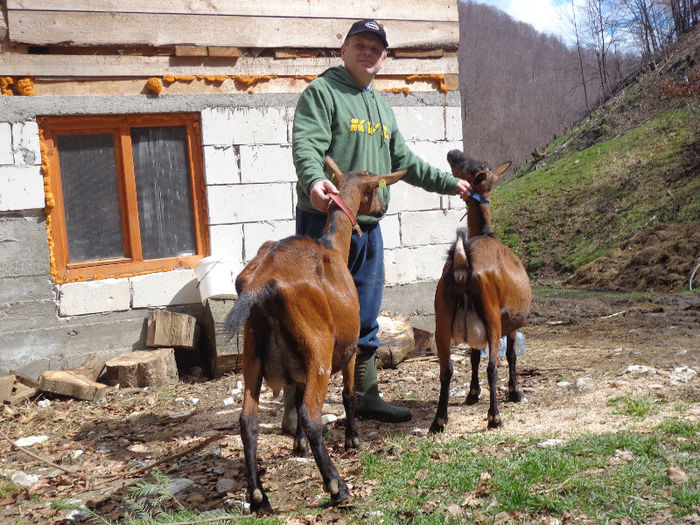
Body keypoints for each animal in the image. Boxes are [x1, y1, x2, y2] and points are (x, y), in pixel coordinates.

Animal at [226, 157, 404, 512]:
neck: (333, 247)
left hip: (253, 352)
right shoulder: (348, 347)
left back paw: (257, 495)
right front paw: (353, 438)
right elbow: (348, 394)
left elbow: (294, 395)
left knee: (248, 420)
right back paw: (337, 486)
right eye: (375, 186)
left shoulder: (296, 369)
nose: (382, 208)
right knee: (311, 415)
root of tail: (262, 282)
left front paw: (298, 447)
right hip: (318, 348)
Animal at [426, 149, 532, 432]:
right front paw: (515, 391)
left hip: (442, 314)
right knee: (493, 364)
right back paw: (494, 417)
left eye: (473, 165)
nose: (452, 152)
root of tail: (463, 263)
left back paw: (439, 420)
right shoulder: (511, 323)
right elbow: (510, 354)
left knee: (446, 368)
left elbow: (473, 355)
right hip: (491, 313)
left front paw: (473, 393)